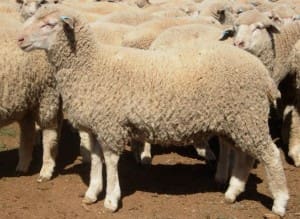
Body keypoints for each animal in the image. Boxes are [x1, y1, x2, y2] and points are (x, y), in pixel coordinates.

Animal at [18, 4, 288, 216]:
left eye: (49, 24)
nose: (19, 40)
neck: (91, 65)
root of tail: (261, 72)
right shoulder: (94, 126)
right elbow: (95, 160)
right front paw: (92, 192)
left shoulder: (110, 125)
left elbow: (110, 162)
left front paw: (111, 199)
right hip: (238, 120)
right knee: (244, 155)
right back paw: (232, 192)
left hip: (248, 115)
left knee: (271, 155)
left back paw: (280, 202)